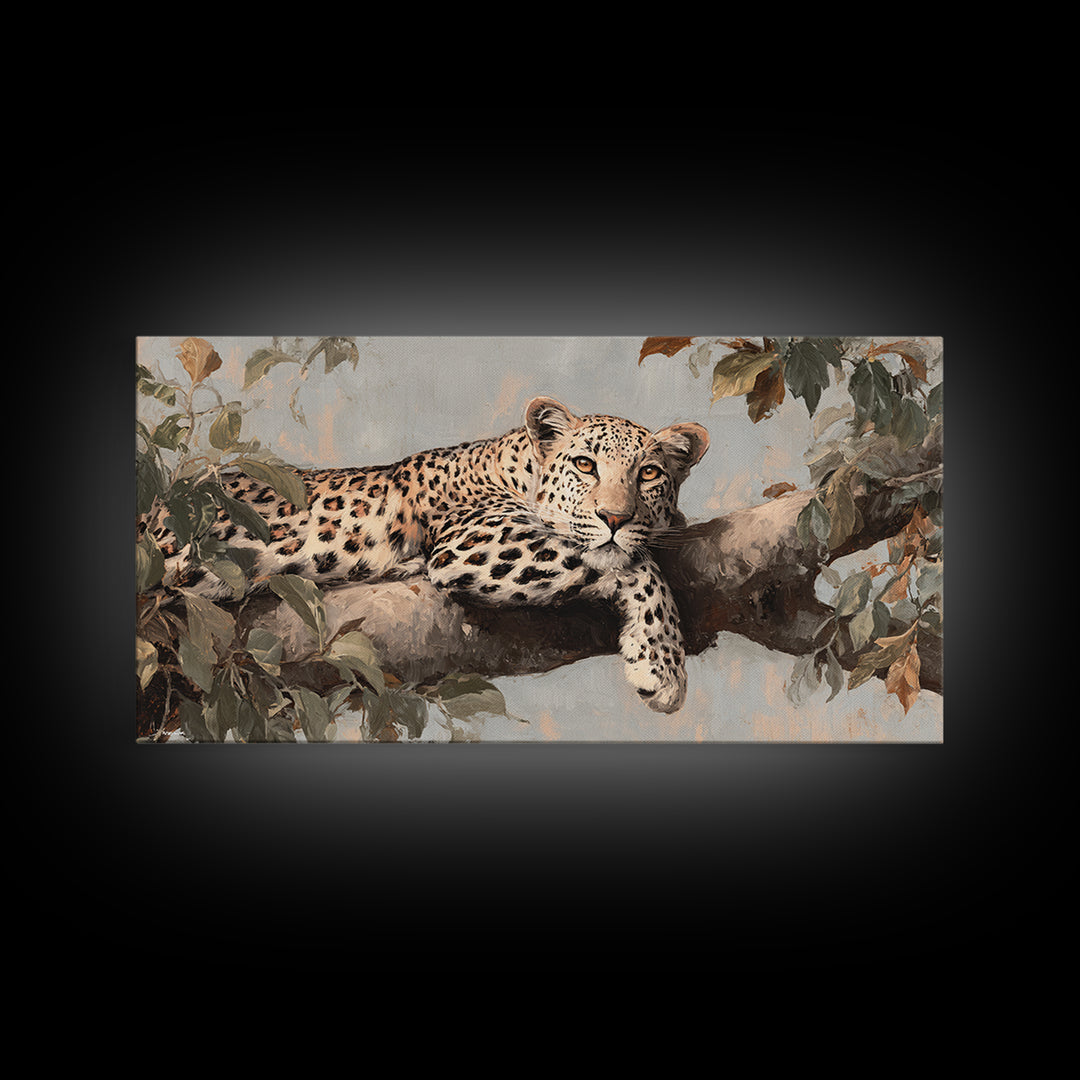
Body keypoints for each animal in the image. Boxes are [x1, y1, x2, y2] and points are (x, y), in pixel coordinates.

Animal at [160, 397, 709, 713]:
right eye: (585, 465)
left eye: (649, 474)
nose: (615, 518)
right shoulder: (474, 543)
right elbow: (631, 565)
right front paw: (663, 665)